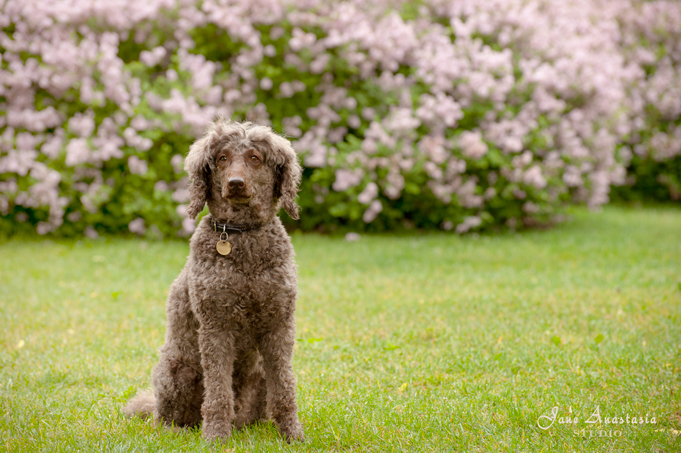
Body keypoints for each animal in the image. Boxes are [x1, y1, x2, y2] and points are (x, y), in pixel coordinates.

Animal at [122, 119, 302, 442]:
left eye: (255, 158)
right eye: (222, 158)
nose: (235, 183)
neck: (242, 235)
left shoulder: (279, 324)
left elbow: (284, 386)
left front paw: (292, 434)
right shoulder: (216, 325)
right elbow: (218, 389)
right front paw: (216, 435)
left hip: (258, 375)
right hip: (174, 369)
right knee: (165, 417)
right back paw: (179, 430)